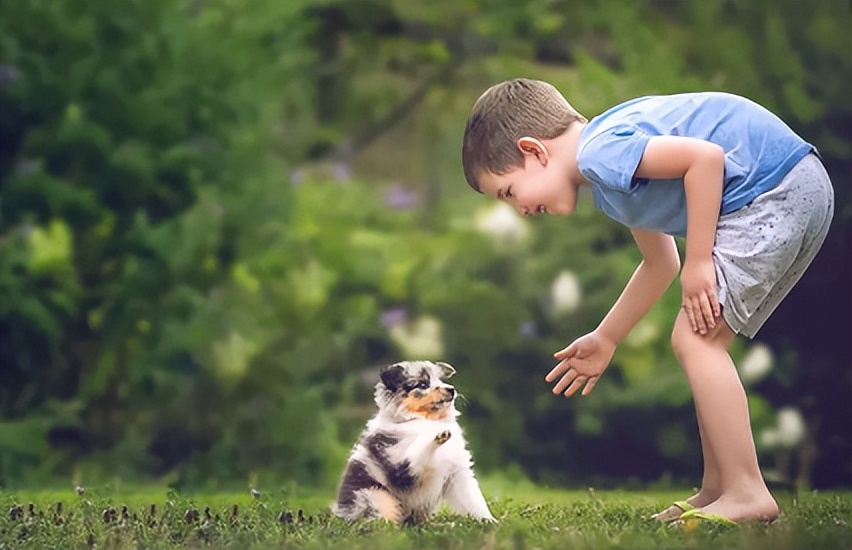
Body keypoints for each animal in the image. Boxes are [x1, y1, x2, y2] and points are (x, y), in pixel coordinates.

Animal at [332, 362, 492, 528]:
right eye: (423, 384)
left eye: (440, 380)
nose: (451, 389)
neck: (424, 420)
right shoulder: (401, 466)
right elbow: (418, 452)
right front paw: (436, 435)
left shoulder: (458, 472)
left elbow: (474, 500)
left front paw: (489, 521)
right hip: (376, 496)